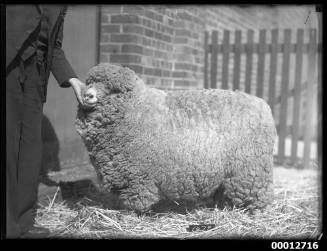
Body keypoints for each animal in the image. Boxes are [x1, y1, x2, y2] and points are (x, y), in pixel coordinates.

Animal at [75, 63, 278, 213]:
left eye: (113, 89)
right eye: (90, 82)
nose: (87, 96)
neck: (135, 107)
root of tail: (263, 105)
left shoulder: (138, 176)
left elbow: (136, 201)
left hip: (250, 169)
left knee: (256, 194)